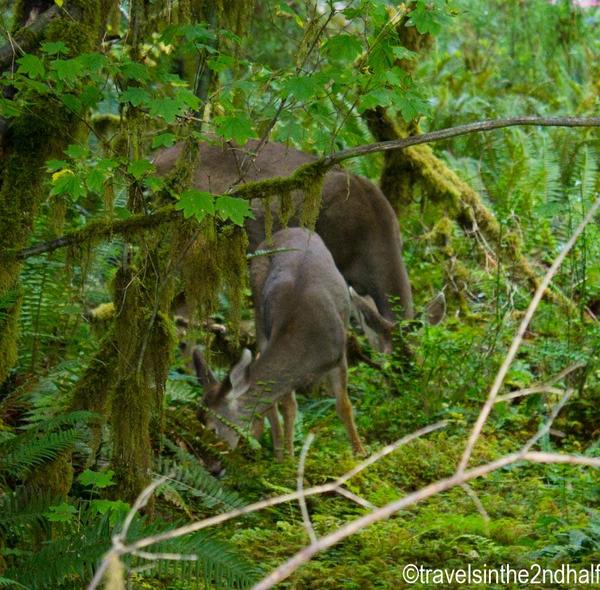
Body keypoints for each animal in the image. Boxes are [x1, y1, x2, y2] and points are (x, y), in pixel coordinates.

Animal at [195, 229, 368, 460]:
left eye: (212, 429)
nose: (209, 461)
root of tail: (291, 229)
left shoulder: (338, 356)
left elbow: (344, 405)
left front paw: (360, 452)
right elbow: (286, 406)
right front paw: (285, 457)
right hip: (259, 306)